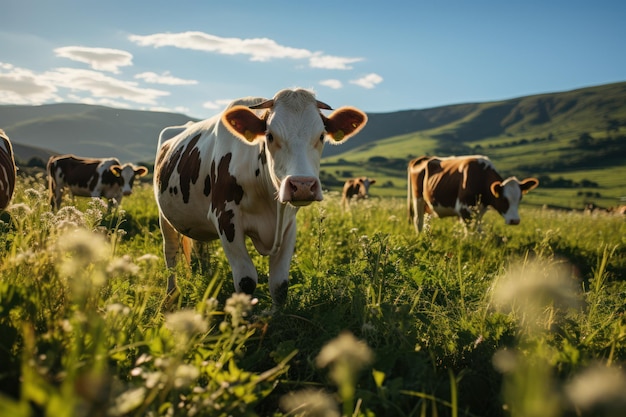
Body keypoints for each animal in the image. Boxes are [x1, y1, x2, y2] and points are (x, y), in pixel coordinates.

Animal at [152, 88, 366, 306]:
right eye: (270, 136)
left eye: (322, 136)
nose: (302, 185)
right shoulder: (225, 218)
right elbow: (246, 281)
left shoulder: (289, 225)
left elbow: (280, 285)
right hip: (164, 217)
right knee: (171, 253)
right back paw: (171, 296)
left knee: (200, 249)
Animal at [404, 155, 536, 234]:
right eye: (503, 199)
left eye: (520, 198)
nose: (515, 220)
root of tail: (423, 158)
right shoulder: (464, 209)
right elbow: (469, 232)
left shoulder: (479, 210)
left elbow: (477, 229)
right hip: (418, 198)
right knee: (418, 220)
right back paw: (420, 237)